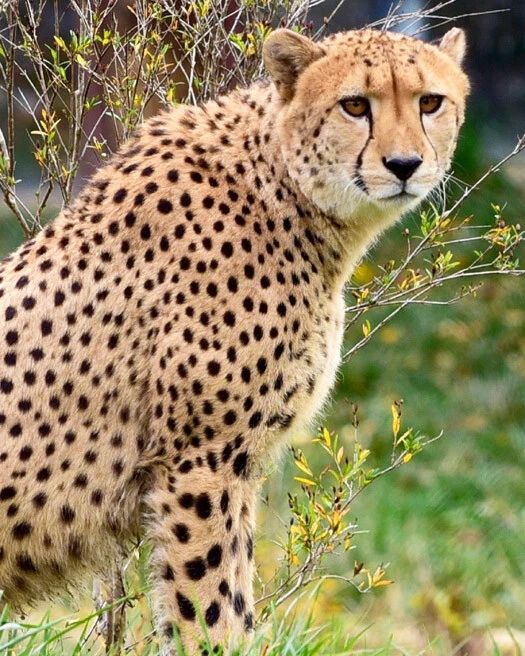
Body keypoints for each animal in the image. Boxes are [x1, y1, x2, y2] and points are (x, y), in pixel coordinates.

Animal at [0, 26, 470, 655]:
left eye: (430, 102)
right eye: (354, 105)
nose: (404, 165)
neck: (284, 189)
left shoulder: (238, 464)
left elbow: (236, 597)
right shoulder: (201, 460)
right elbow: (209, 606)